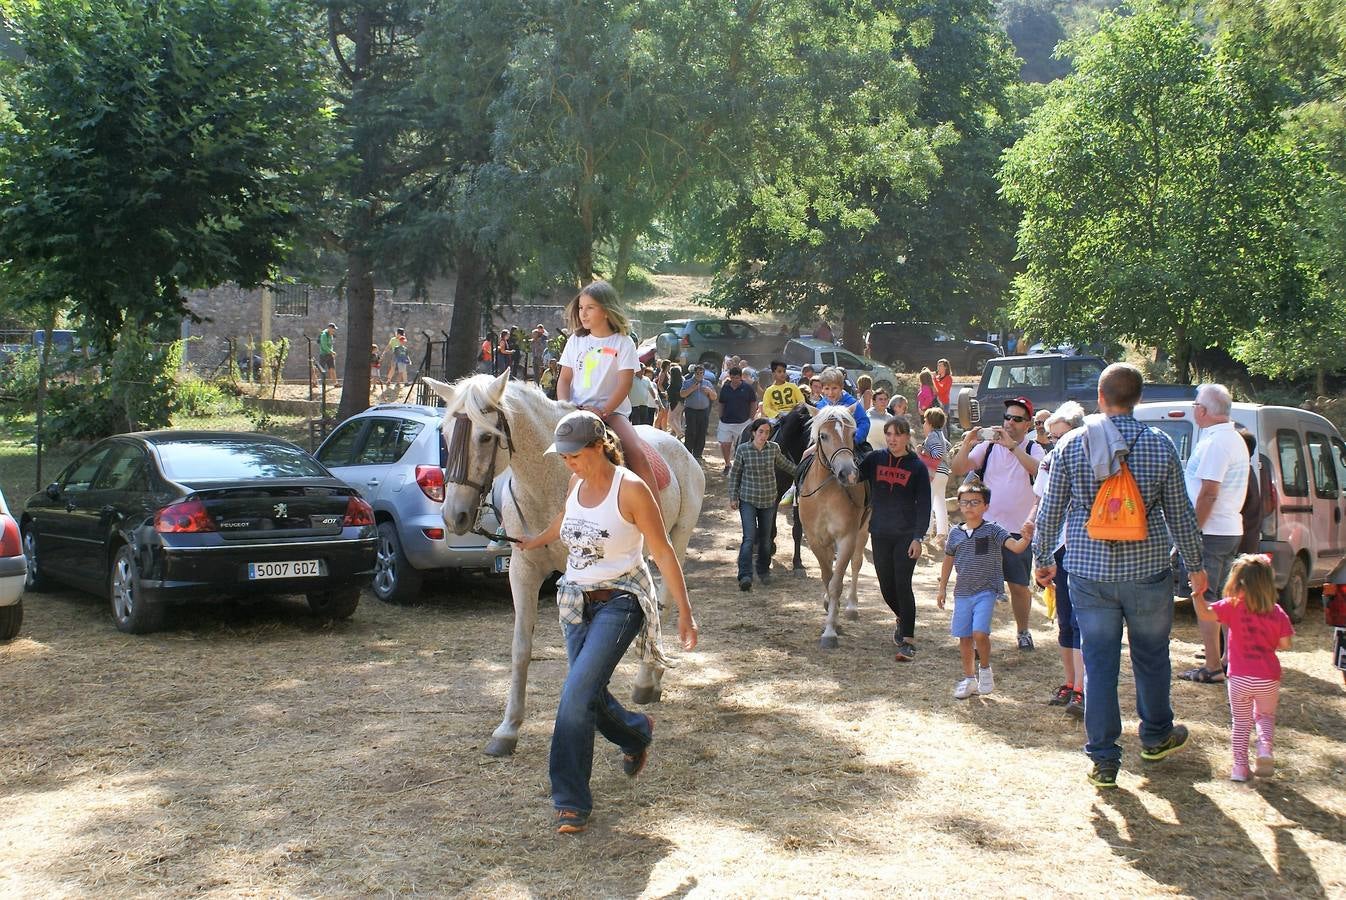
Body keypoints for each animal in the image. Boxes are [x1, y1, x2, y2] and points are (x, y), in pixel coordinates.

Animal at [425, 371, 710, 758]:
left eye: (485, 436)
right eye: (445, 433)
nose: (455, 515)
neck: (550, 484)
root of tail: (679, 447)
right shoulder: (524, 570)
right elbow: (522, 648)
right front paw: (508, 729)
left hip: (675, 540)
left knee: (664, 602)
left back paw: (647, 681)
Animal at [796, 406, 872, 645]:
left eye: (852, 434)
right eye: (823, 436)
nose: (848, 473)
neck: (825, 493)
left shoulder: (847, 537)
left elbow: (836, 583)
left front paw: (830, 630)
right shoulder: (815, 539)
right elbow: (827, 576)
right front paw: (831, 612)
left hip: (863, 529)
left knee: (855, 564)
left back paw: (851, 607)